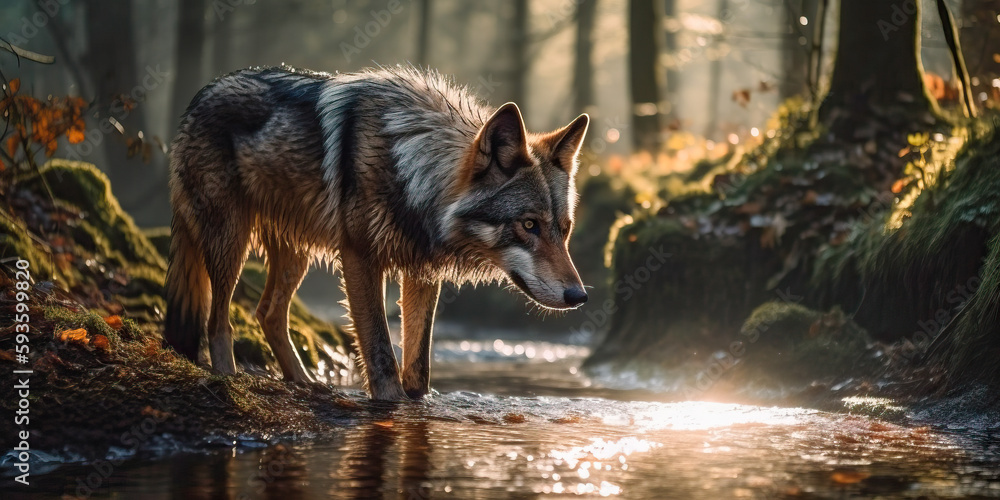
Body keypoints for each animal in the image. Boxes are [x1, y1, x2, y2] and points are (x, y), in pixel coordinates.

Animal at [163, 65, 589, 400]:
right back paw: (228, 379)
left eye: (564, 229)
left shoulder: (421, 271)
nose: (579, 296)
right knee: (218, 321)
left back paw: (306, 384)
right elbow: (381, 352)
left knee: (267, 314)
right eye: (529, 225)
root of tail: (201, 94)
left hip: (294, 252)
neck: (412, 170)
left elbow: (418, 366)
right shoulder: (359, 259)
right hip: (230, 241)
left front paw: (416, 401)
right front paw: (392, 406)